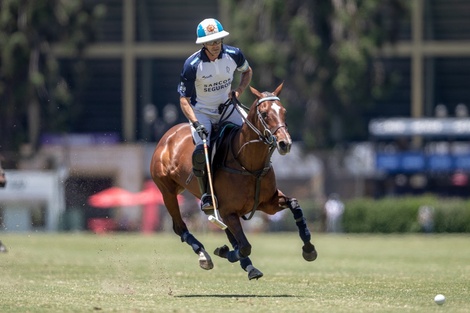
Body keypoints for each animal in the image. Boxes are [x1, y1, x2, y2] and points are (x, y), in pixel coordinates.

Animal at [151, 82, 318, 278]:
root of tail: (169, 133)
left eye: (284, 111)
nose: (285, 143)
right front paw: (226, 253)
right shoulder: (229, 211)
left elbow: (295, 204)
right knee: (180, 227)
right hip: (167, 191)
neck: (249, 164)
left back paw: (247, 265)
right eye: (264, 113)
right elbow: (244, 246)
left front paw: (309, 249)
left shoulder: (267, 203)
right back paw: (204, 255)